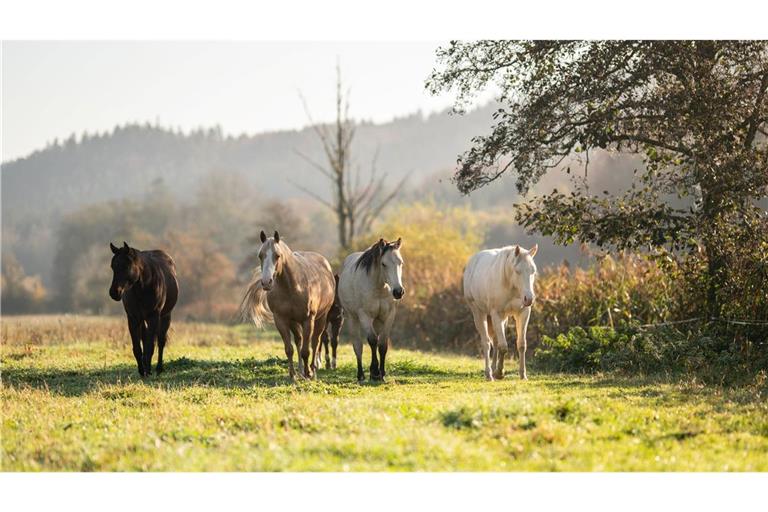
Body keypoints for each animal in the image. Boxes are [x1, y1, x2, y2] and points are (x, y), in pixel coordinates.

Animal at [109, 240, 179, 376]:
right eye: (113, 266)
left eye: (126, 266)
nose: (114, 293)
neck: (142, 287)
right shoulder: (133, 318)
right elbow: (138, 347)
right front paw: (142, 371)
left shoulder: (153, 317)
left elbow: (150, 346)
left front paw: (148, 370)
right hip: (142, 319)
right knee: (145, 338)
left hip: (165, 316)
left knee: (161, 341)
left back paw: (158, 368)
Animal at [240, 232, 336, 380]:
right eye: (260, 255)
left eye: (277, 255)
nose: (266, 282)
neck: (293, 286)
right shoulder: (281, 320)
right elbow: (289, 349)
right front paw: (293, 375)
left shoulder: (308, 320)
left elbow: (306, 350)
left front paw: (308, 373)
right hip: (294, 322)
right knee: (299, 340)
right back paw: (301, 370)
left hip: (320, 318)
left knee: (315, 342)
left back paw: (313, 370)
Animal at [340, 238, 404, 382]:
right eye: (383, 264)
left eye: (401, 263)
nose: (398, 292)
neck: (379, 288)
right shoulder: (365, 316)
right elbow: (372, 340)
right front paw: (375, 372)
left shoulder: (389, 316)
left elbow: (382, 344)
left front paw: (381, 373)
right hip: (352, 318)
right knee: (358, 346)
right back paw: (361, 375)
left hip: (377, 321)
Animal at [462, 244, 540, 380]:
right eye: (517, 271)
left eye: (533, 271)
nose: (529, 299)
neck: (510, 284)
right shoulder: (496, 314)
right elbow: (503, 347)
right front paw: (499, 373)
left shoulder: (523, 313)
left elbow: (521, 344)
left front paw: (522, 375)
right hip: (479, 313)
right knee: (487, 343)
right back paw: (489, 374)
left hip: (503, 319)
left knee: (495, 341)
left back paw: (493, 369)